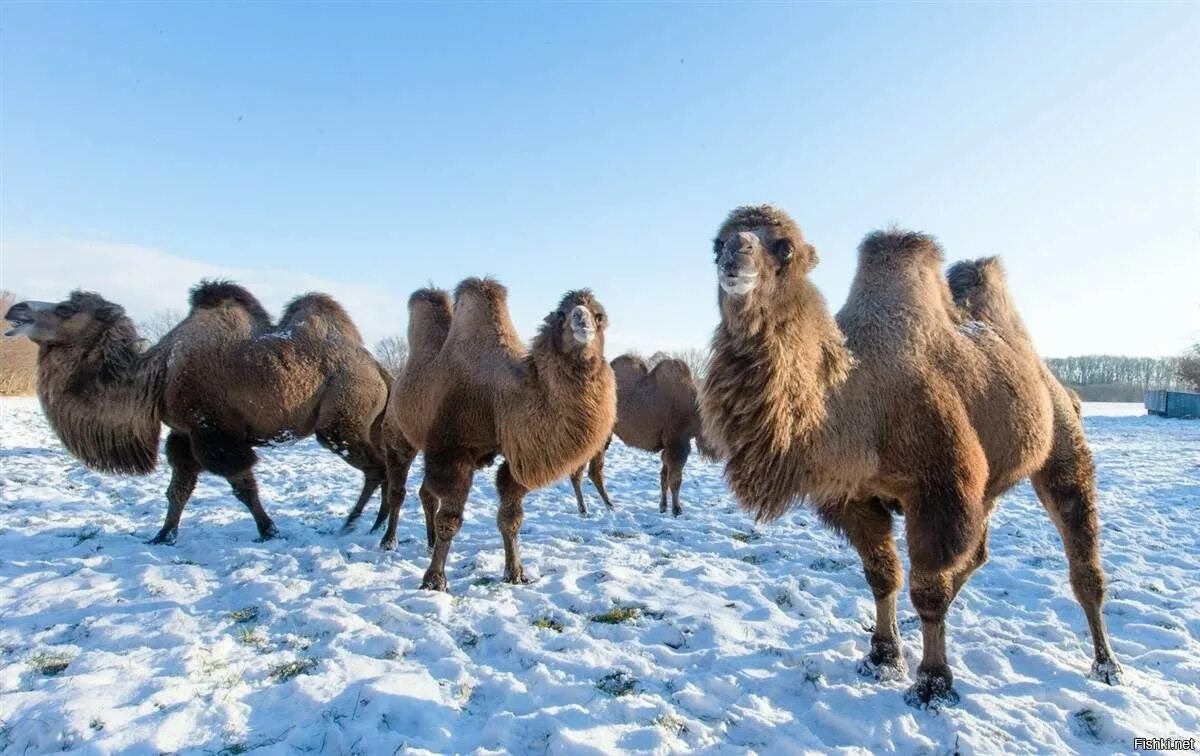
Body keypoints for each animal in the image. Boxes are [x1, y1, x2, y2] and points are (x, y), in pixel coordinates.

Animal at [4, 283, 388, 544]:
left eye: (66, 309)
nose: (16, 309)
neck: (158, 376)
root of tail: (379, 370)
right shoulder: (184, 434)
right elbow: (178, 489)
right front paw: (163, 535)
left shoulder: (214, 431)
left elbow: (243, 487)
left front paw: (269, 530)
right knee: (381, 467)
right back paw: (370, 523)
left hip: (341, 422)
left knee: (376, 468)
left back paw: (356, 523)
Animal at [372, 279, 619, 592]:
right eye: (561, 313)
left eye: (599, 316)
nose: (581, 320)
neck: (502, 395)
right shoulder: (454, 450)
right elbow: (450, 520)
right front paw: (434, 580)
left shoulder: (517, 457)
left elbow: (510, 518)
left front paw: (515, 573)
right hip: (398, 436)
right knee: (399, 490)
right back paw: (388, 541)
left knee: (426, 493)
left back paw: (428, 543)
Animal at [568, 355, 710, 516]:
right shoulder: (677, 442)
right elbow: (675, 479)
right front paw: (676, 510)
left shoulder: (668, 446)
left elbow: (664, 477)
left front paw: (663, 507)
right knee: (578, 472)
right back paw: (583, 509)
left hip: (603, 437)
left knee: (594, 471)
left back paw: (609, 505)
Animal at [700, 204, 1118, 710]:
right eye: (715, 244)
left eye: (785, 248)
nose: (735, 253)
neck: (856, 399)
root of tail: (1054, 382)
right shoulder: (853, 497)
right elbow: (883, 575)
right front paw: (883, 655)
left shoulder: (939, 489)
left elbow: (926, 588)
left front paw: (933, 680)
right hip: (990, 482)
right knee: (977, 551)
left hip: (1062, 447)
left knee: (1081, 559)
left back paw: (1107, 665)